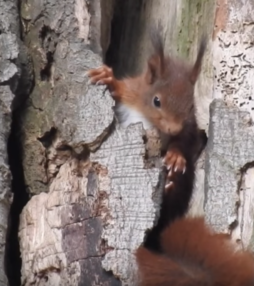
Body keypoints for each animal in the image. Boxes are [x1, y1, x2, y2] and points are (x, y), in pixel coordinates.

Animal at [86, 26, 207, 190]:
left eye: (192, 106)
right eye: (156, 101)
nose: (174, 129)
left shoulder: (189, 128)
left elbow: (184, 141)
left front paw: (176, 156)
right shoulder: (132, 93)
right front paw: (108, 78)